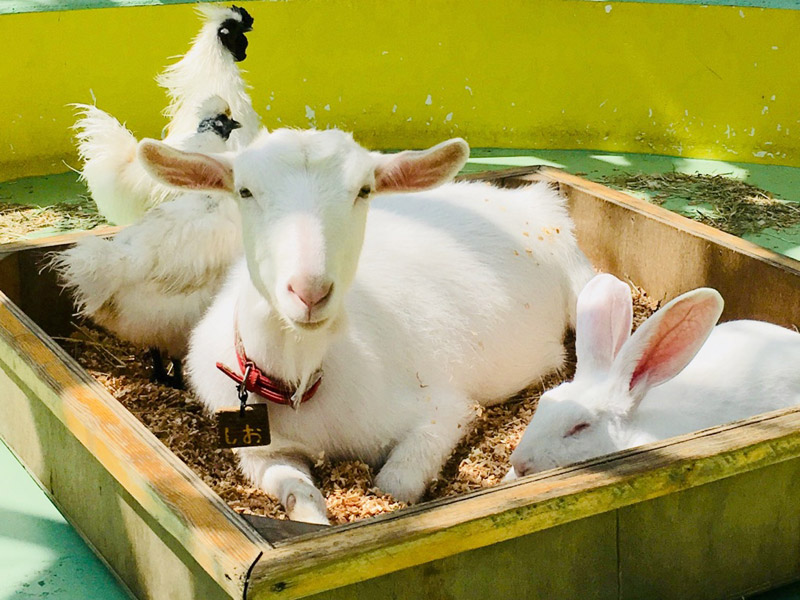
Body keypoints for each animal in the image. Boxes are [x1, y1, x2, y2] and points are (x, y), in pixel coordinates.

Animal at [138, 129, 592, 524]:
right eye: (245, 191)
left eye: (364, 190)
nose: (310, 291)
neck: (303, 378)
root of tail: (529, 198)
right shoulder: (261, 453)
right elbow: (297, 494)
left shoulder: (446, 410)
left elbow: (396, 484)